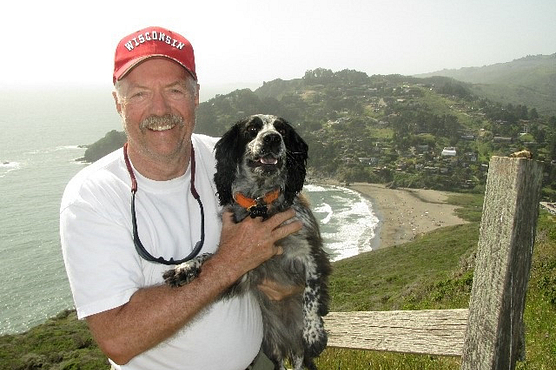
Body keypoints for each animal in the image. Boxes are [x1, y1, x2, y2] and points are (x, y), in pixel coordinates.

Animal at [164, 114, 330, 368]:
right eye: (252, 129)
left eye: (282, 130)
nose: (272, 138)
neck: (261, 202)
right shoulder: (244, 269)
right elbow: (209, 256)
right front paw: (184, 267)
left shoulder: (311, 252)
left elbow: (311, 293)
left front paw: (314, 332)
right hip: (270, 343)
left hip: (296, 351)